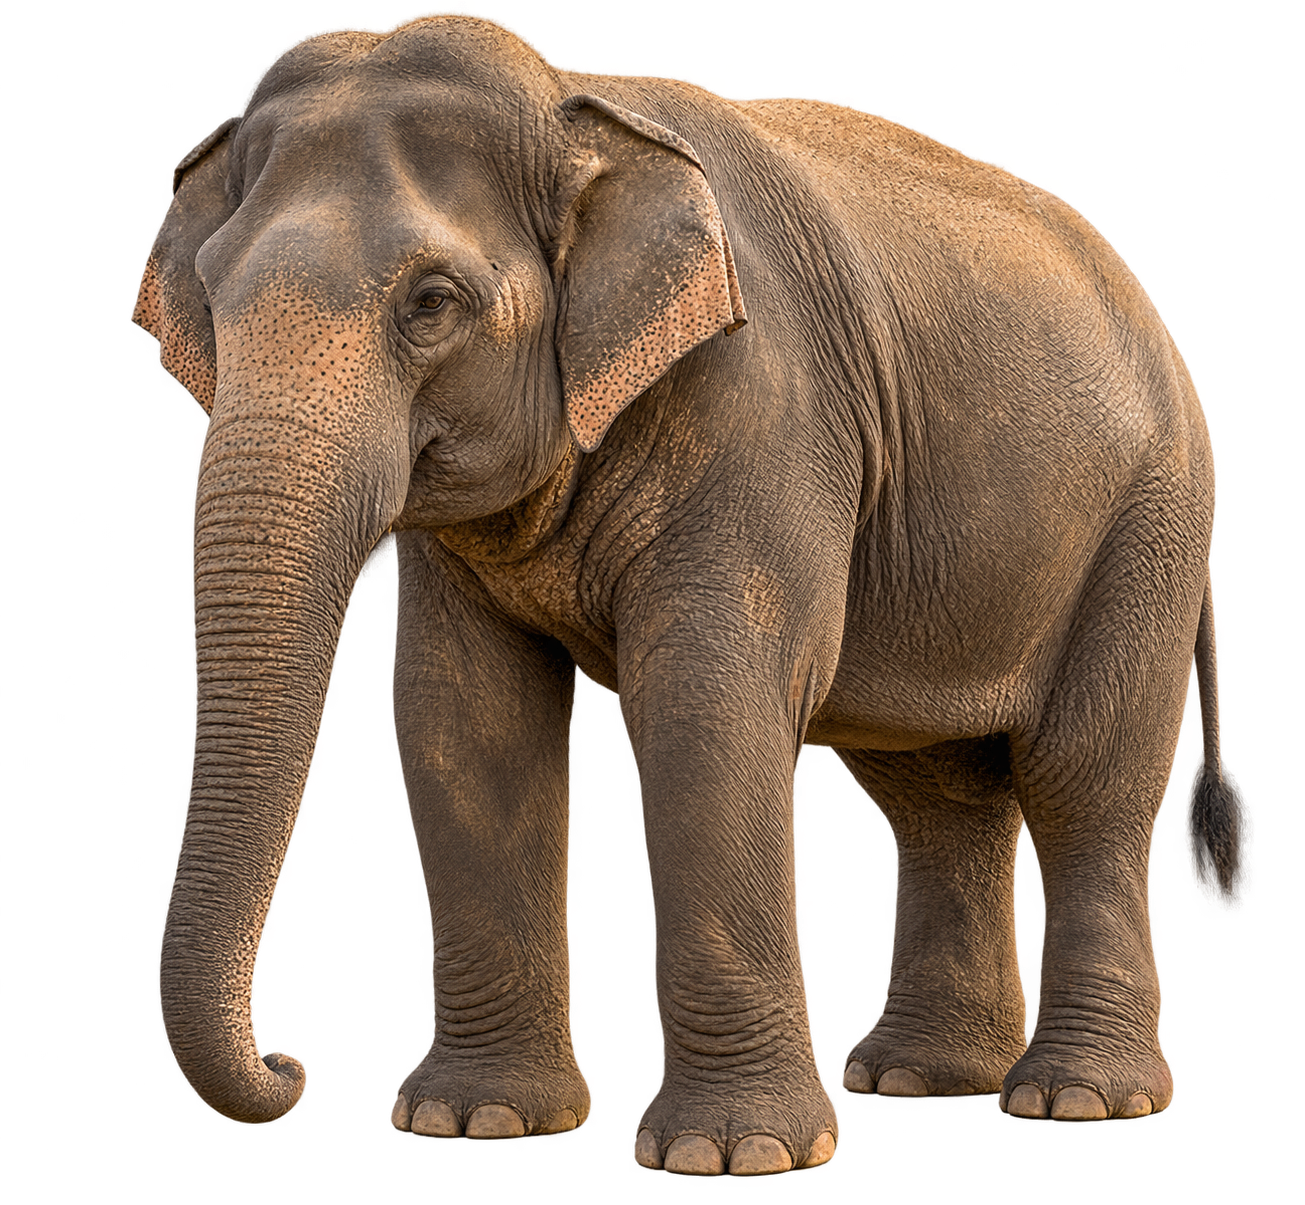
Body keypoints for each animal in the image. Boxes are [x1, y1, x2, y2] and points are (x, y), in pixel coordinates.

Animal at [132, 8, 1253, 1176]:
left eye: (432, 303)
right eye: (210, 300)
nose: (290, 1062)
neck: (568, 106)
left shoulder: (761, 407)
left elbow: (705, 705)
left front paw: (729, 1151)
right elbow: (464, 722)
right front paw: (475, 1121)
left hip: (1147, 524)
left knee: (1086, 779)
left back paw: (1078, 1098)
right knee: (936, 795)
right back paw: (917, 1079)